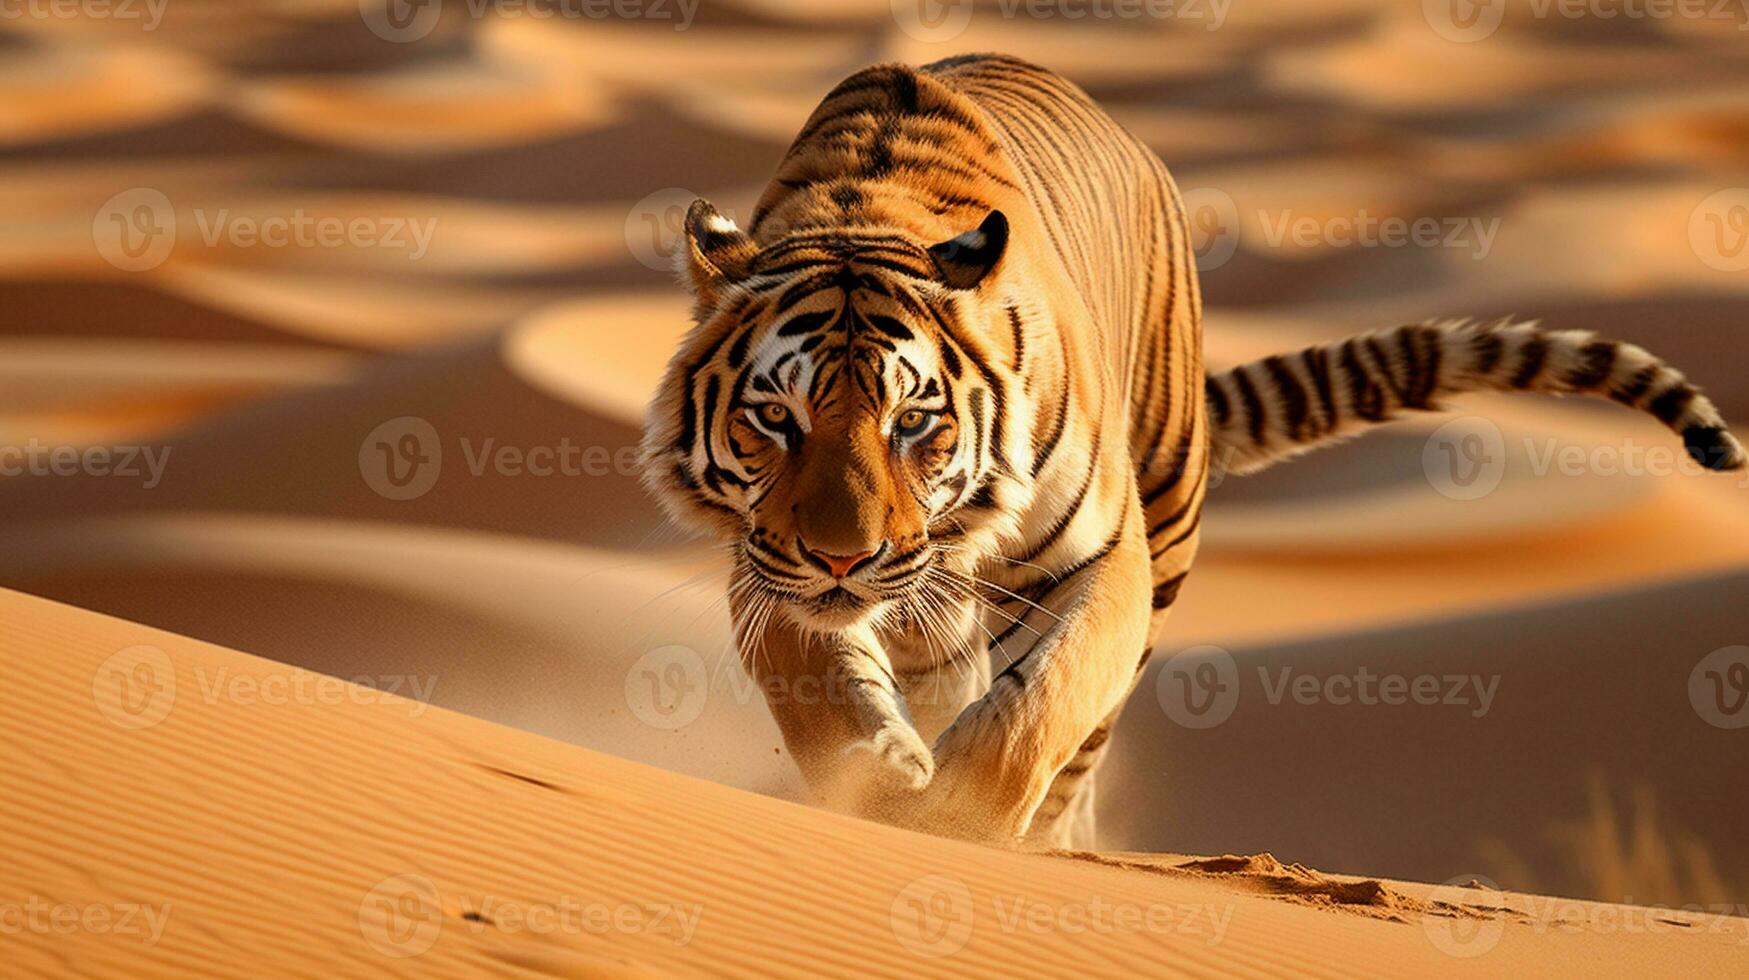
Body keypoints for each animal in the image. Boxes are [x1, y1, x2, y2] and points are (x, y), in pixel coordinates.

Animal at [640, 53, 1735, 850]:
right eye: (775, 417)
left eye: (912, 422)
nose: (844, 557)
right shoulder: (766, 568)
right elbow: (826, 695)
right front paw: (883, 788)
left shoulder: (1102, 557)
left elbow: (1038, 709)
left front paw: (954, 817)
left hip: (1162, 522)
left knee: (1079, 748)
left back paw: (1049, 842)